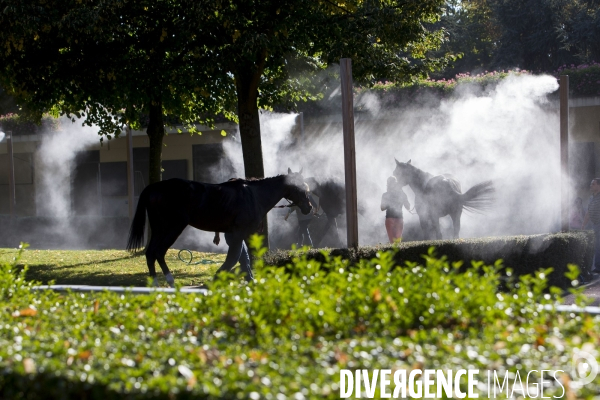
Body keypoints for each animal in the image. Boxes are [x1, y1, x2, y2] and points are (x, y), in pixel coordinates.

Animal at [128, 173, 312, 286]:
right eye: (301, 187)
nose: (309, 207)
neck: (253, 196)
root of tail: (154, 188)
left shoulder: (236, 234)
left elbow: (242, 258)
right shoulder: (240, 233)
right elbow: (234, 258)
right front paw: (216, 279)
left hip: (159, 229)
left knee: (151, 253)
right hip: (172, 227)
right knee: (158, 252)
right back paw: (170, 281)